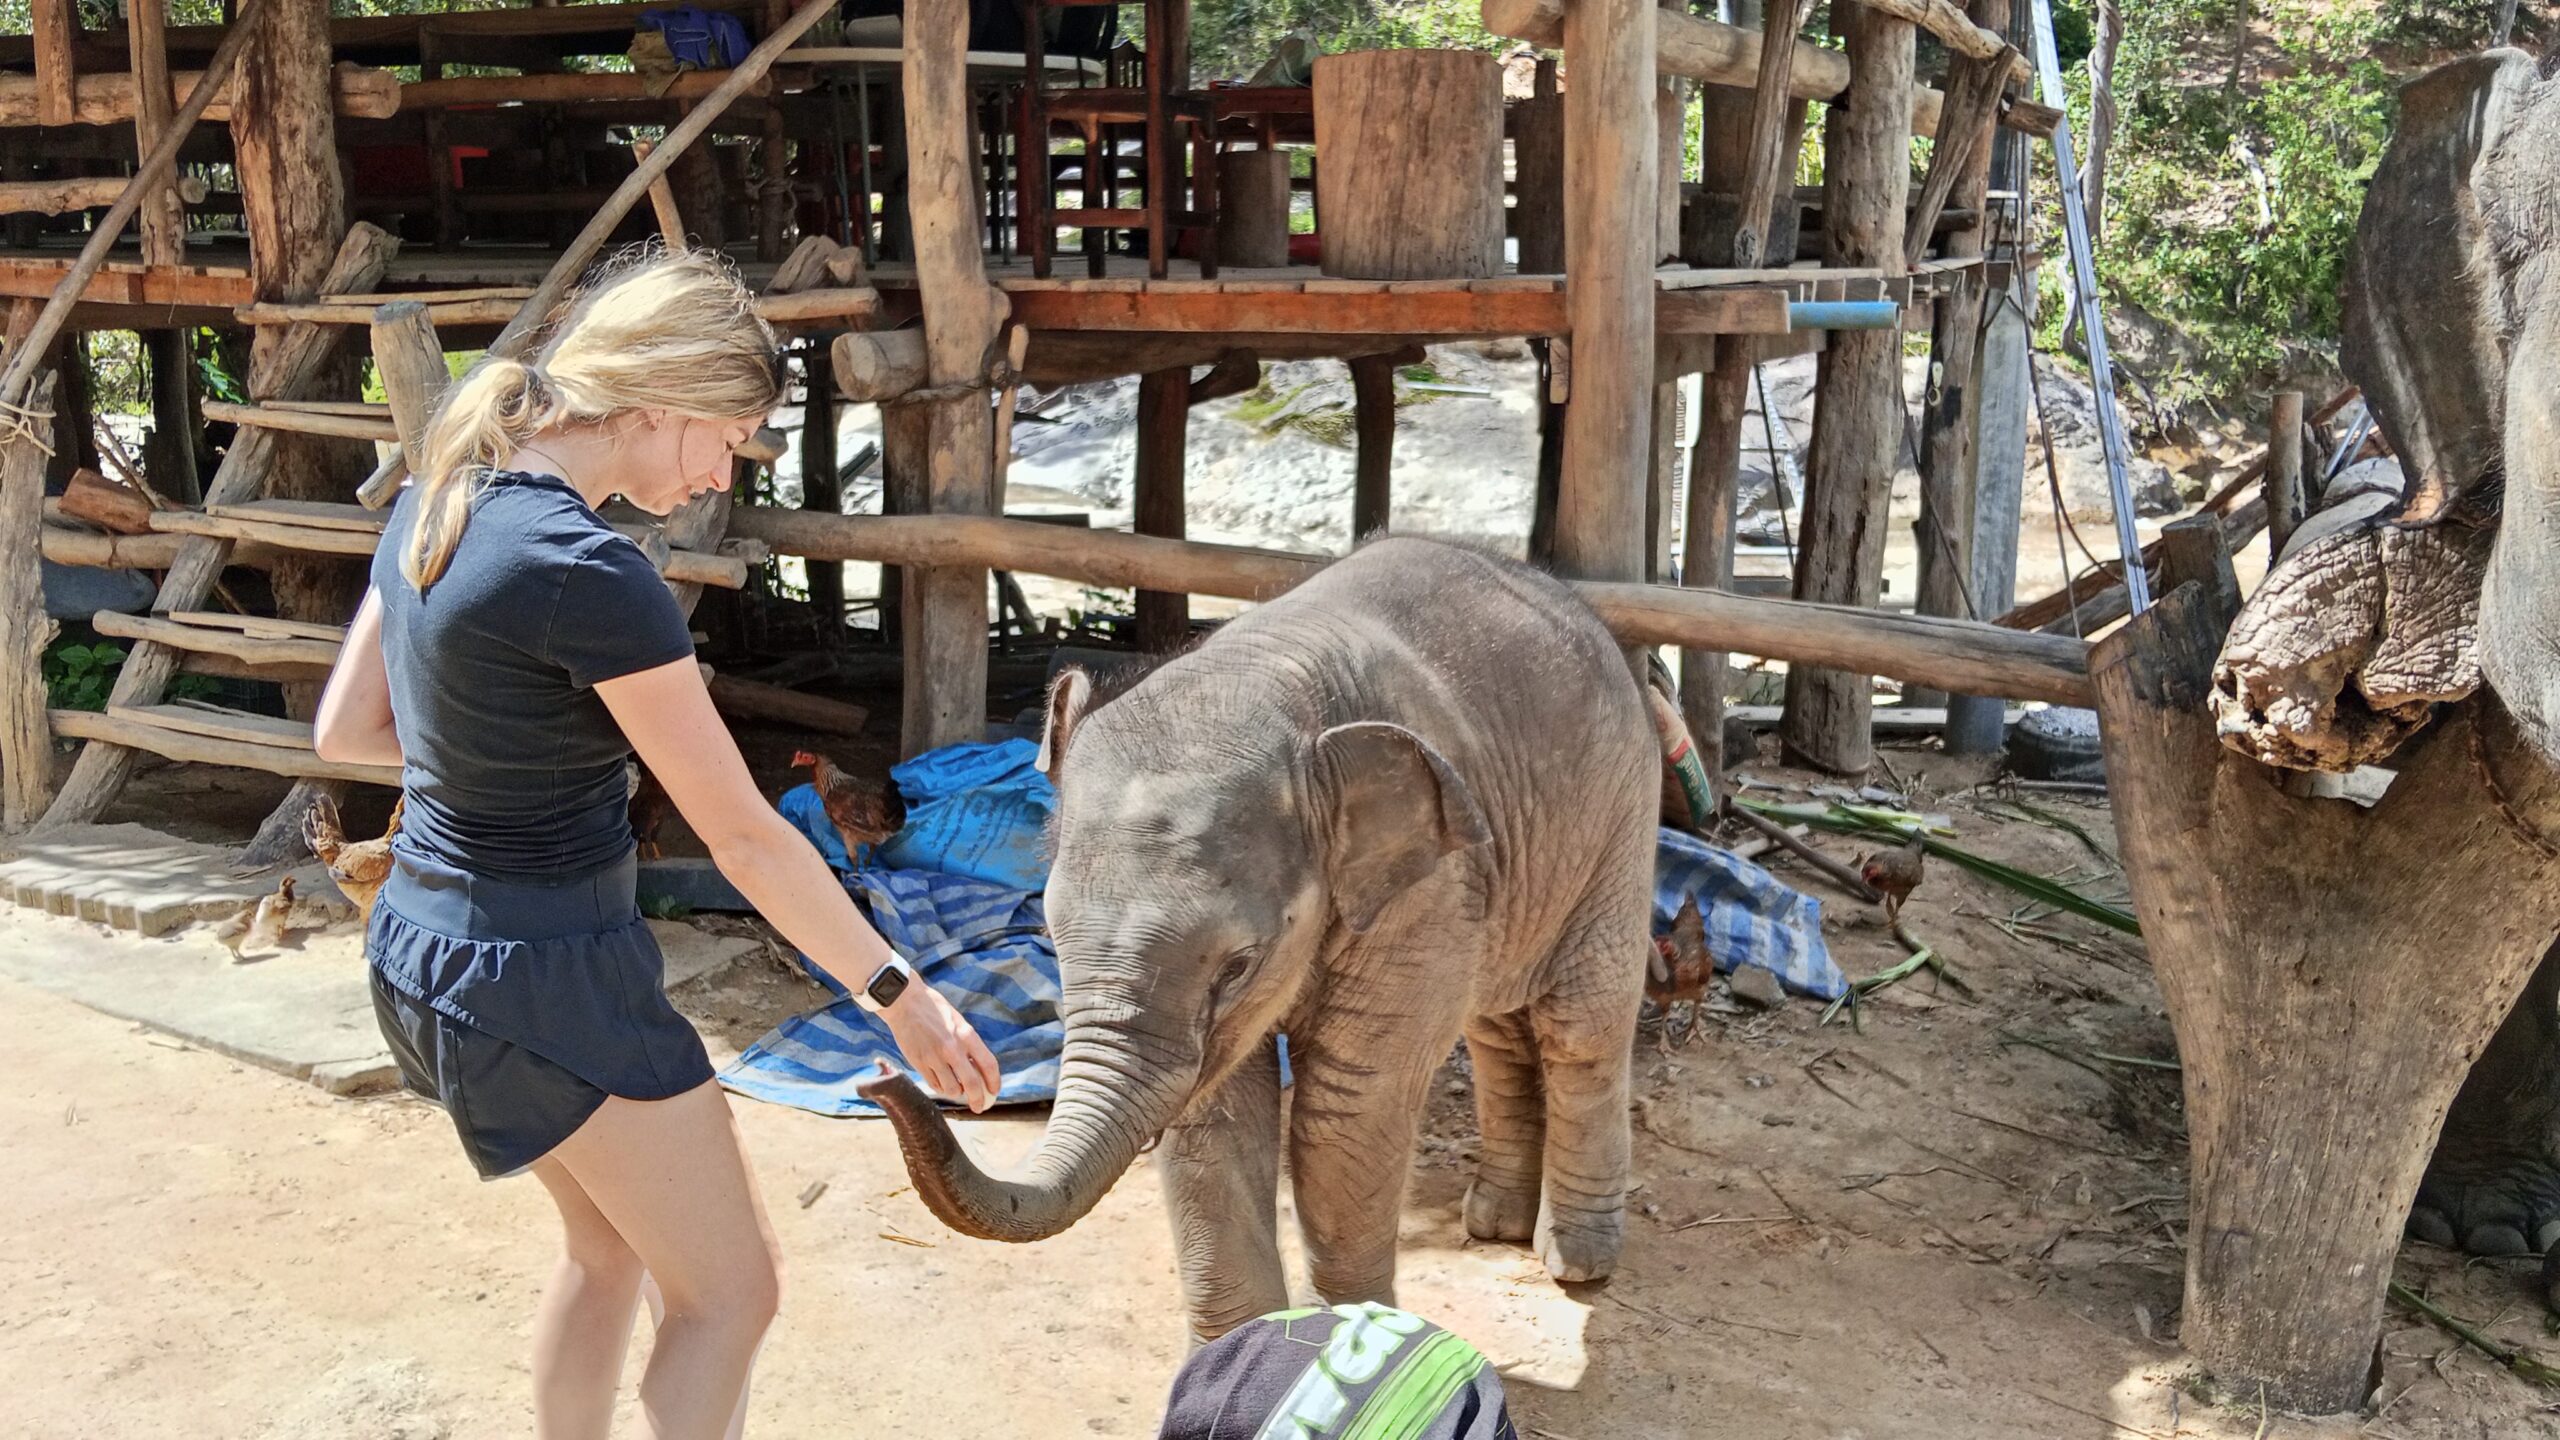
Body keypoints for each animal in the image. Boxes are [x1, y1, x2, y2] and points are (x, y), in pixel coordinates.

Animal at [861, 536, 1661, 1340]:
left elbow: (1347, 1106)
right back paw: (1496, 1223)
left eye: (1239, 965)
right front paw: (1244, 1355)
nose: (882, 1074)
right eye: (1051, 940)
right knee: (1497, 1028)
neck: (1269, 685)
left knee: (1579, 1026)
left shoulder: (1427, 888)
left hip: (1621, 823)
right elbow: (1212, 1113)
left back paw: (1577, 1262)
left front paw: (1352, 1345)